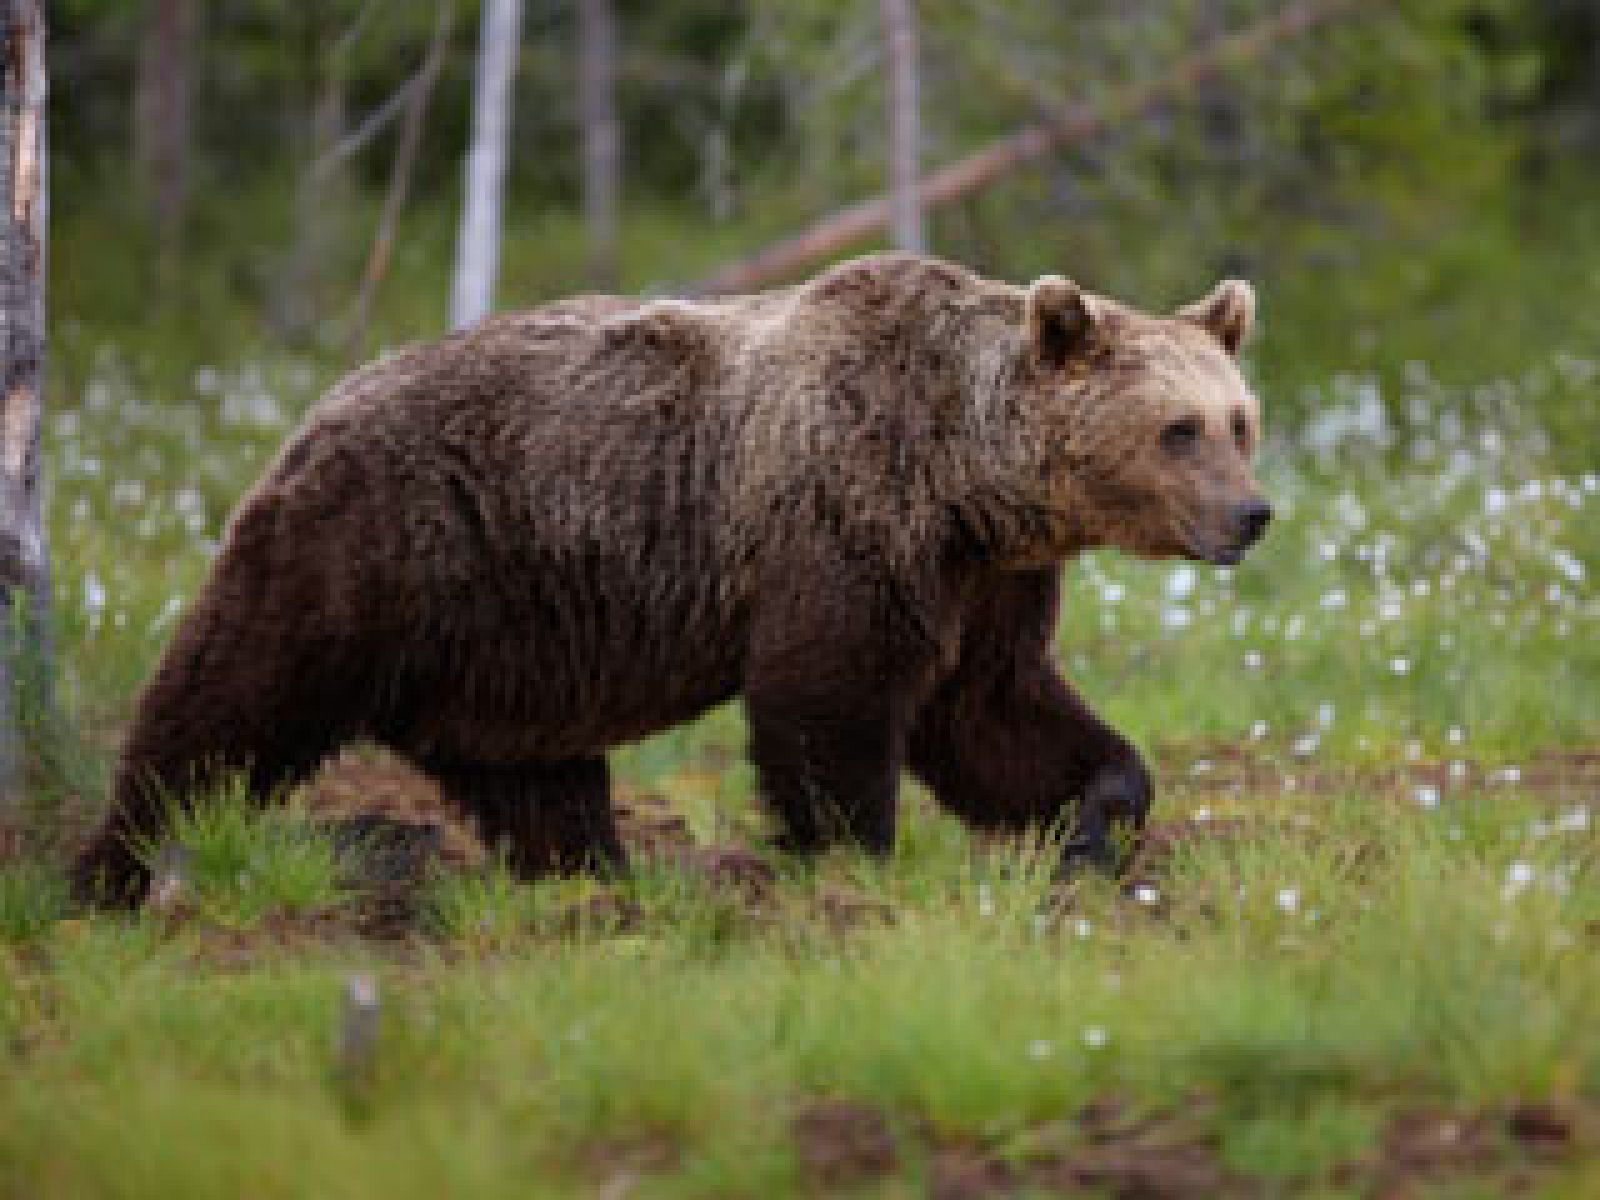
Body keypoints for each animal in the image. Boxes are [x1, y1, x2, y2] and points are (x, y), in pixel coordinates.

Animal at [73, 253, 1269, 903]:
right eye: (1178, 429)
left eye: (1239, 420)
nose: (1252, 515)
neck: (967, 478)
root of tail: (316, 405)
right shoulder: (843, 517)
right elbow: (828, 703)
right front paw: (847, 863)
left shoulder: (984, 580)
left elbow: (997, 713)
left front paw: (1093, 828)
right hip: (370, 550)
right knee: (228, 700)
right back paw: (108, 871)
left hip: (509, 638)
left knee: (535, 777)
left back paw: (599, 881)